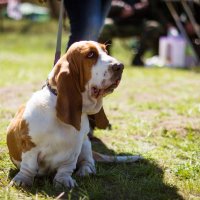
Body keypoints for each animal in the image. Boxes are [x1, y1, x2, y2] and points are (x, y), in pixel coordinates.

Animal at [6, 40, 141, 188]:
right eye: (90, 54)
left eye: (106, 51)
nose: (120, 66)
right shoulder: (30, 144)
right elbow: (29, 166)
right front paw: (22, 180)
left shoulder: (74, 149)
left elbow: (67, 167)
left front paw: (64, 181)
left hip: (86, 143)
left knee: (88, 161)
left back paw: (86, 171)